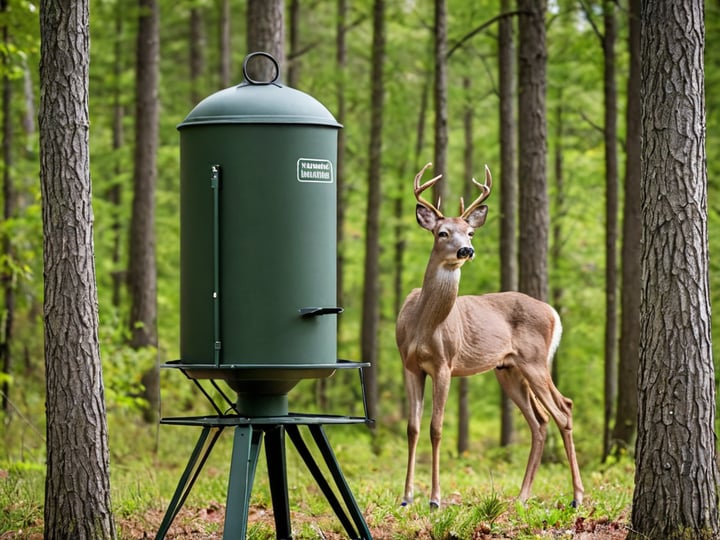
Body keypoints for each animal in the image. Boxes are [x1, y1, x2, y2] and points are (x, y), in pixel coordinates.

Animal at [396, 162, 584, 509]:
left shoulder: (444, 364)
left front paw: (435, 499)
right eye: (442, 233)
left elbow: (436, 427)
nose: (466, 250)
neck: (423, 324)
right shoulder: (410, 365)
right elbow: (412, 427)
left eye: (470, 232)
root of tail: (553, 313)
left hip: (535, 360)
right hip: (508, 369)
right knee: (540, 421)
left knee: (563, 408)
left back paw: (577, 496)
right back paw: (522, 496)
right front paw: (406, 498)